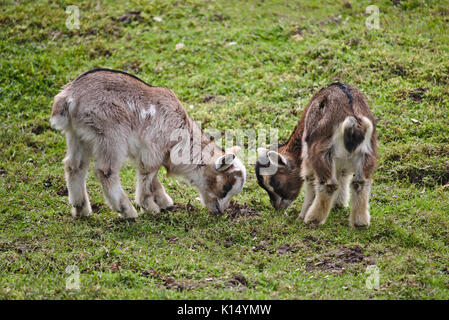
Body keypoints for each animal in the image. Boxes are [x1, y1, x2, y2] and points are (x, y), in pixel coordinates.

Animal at [50, 68, 245, 219]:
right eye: (225, 187)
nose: (221, 211)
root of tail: (69, 97)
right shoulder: (153, 151)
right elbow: (148, 175)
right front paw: (150, 207)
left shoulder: (148, 154)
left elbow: (153, 178)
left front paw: (164, 202)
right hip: (111, 135)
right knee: (105, 171)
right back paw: (127, 211)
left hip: (78, 136)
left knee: (74, 167)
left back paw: (81, 209)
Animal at [256, 82, 374, 228]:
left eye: (276, 183)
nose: (277, 207)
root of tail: (353, 121)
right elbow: (342, 174)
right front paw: (338, 204)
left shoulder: (308, 158)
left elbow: (310, 180)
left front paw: (301, 216)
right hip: (367, 153)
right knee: (360, 182)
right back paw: (360, 222)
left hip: (320, 152)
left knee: (328, 184)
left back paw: (313, 219)